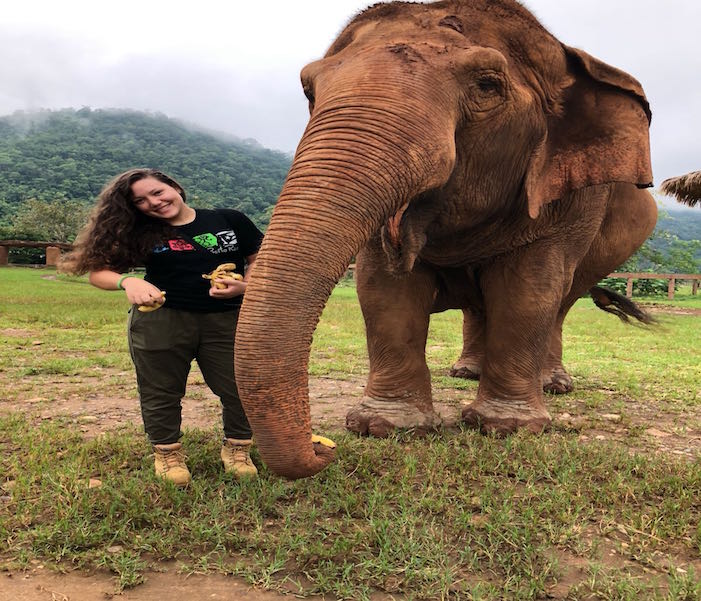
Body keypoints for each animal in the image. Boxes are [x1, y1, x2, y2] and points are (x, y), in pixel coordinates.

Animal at [234, 0, 658, 479]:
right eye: (309, 90)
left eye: (488, 85)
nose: (323, 448)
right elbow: (381, 289)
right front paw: (385, 427)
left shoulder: (567, 200)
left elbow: (528, 289)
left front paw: (507, 428)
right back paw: (466, 373)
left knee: (562, 299)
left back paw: (552, 384)